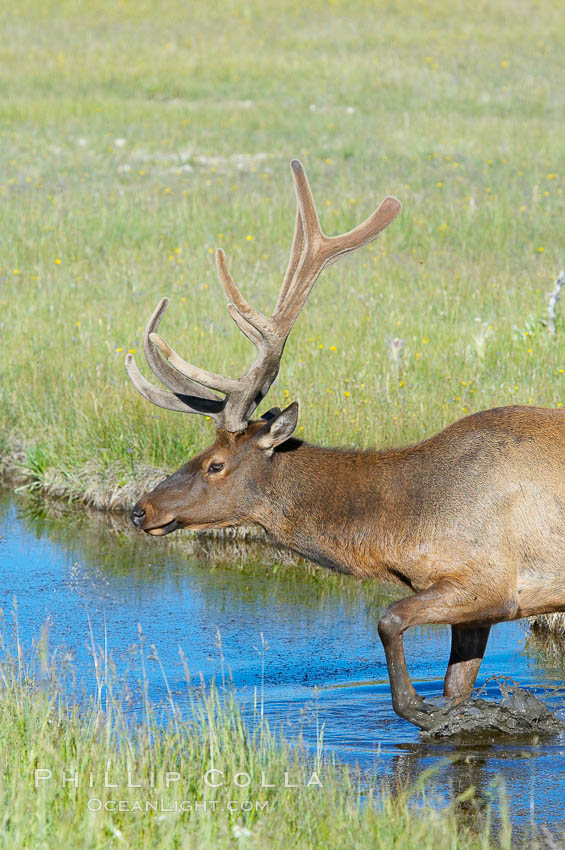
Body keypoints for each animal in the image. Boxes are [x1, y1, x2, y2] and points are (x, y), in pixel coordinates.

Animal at [125, 161, 564, 728]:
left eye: (216, 464)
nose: (141, 508)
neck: (404, 529)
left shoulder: (489, 580)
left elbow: (389, 623)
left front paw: (426, 710)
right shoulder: (476, 608)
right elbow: (456, 687)